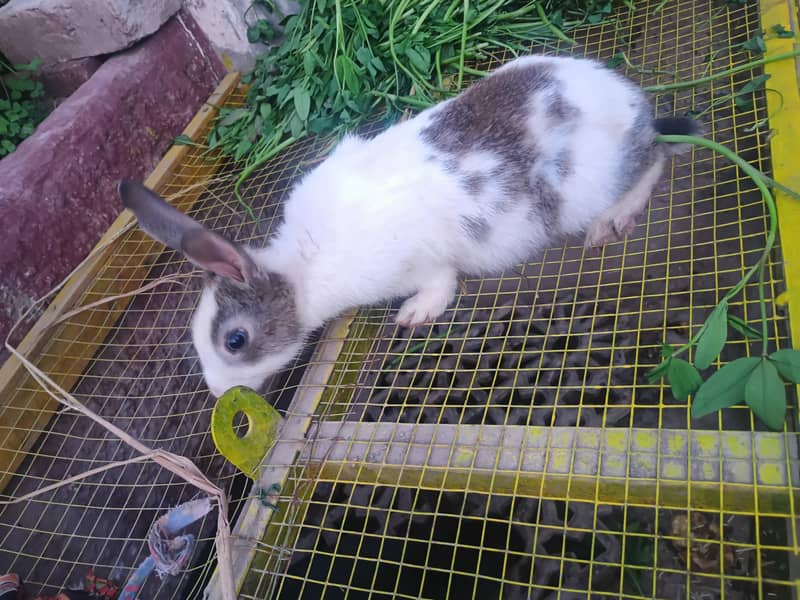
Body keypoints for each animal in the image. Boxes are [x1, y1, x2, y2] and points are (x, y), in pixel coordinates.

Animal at [118, 53, 699, 398]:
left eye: (235, 341)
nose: (221, 393)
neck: (304, 269)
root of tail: (636, 108)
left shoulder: (421, 262)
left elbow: (441, 283)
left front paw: (416, 315)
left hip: (595, 183)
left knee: (656, 159)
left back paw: (613, 220)